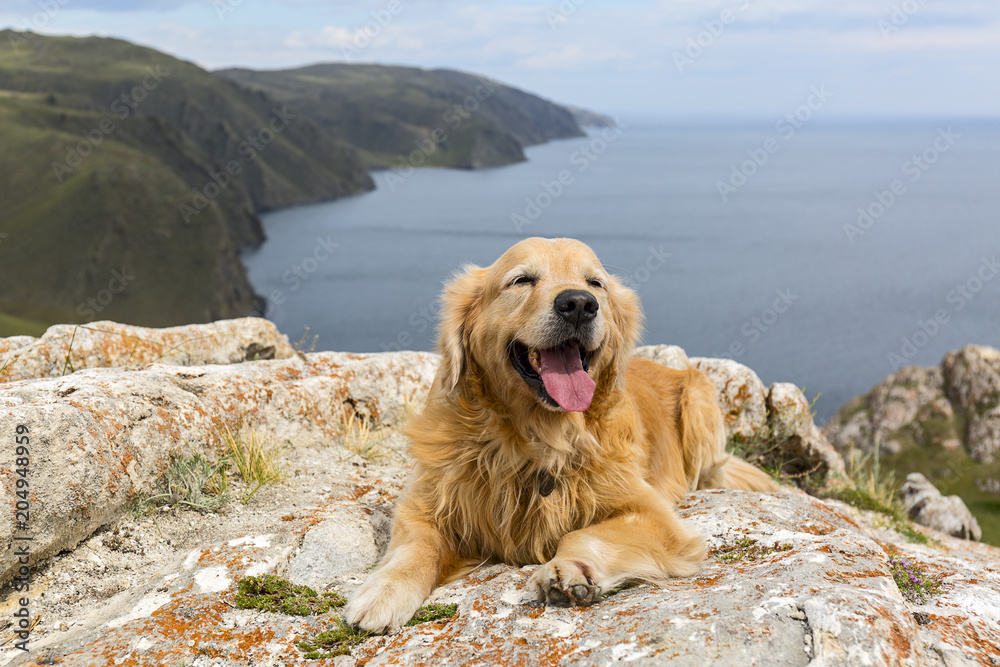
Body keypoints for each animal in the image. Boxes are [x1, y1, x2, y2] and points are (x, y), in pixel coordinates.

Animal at [348, 239, 776, 632]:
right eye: (522, 279)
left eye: (595, 283)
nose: (579, 304)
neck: (538, 438)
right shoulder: (423, 502)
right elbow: (415, 547)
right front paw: (385, 591)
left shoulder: (650, 513)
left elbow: (586, 534)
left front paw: (569, 568)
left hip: (699, 398)